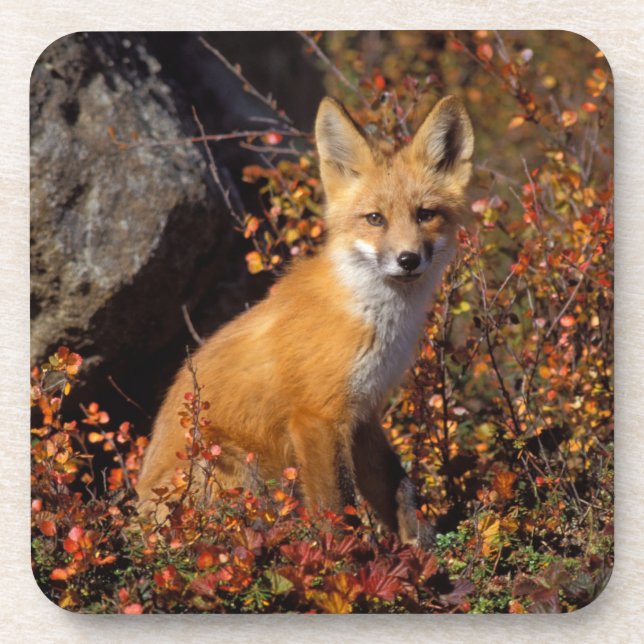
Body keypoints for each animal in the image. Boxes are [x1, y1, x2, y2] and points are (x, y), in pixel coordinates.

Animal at [136, 95, 474, 547]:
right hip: (234, 467)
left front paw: (419, 545)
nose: (408, 259)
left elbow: (399, 487)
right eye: (375, 218)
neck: (375, 320)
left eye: (425, 215)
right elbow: (339, 508)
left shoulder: (363, 413)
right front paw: (351, 557)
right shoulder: (317, 416)